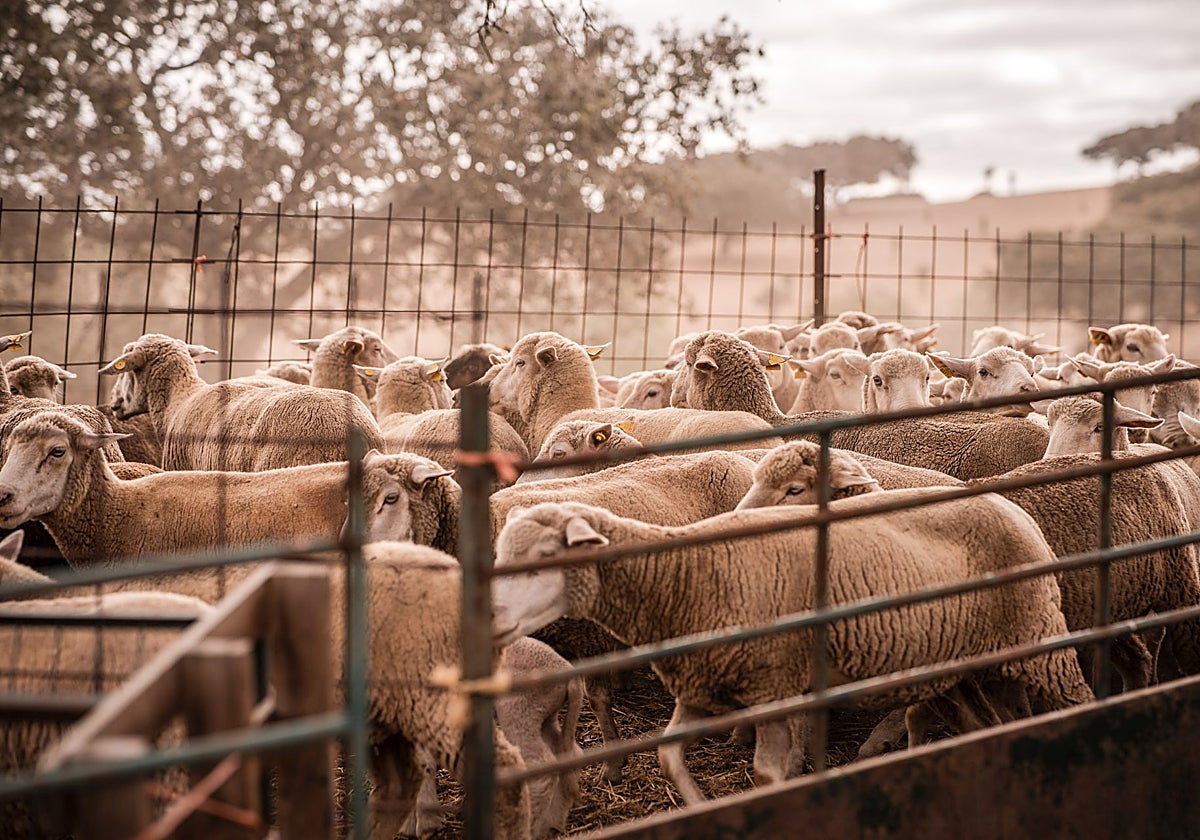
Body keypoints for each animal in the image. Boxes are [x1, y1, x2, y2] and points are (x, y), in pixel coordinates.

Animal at [492, 497, 1093, 804]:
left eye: (544, 555)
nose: (492, 617)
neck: (683, 574)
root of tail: (1010, 504)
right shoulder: (706, 685)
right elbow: (666, 755)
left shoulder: (771, 685)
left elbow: (767, 773)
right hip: (954, 670)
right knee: (984, 725)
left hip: (1041, 642)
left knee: (1079, 702)